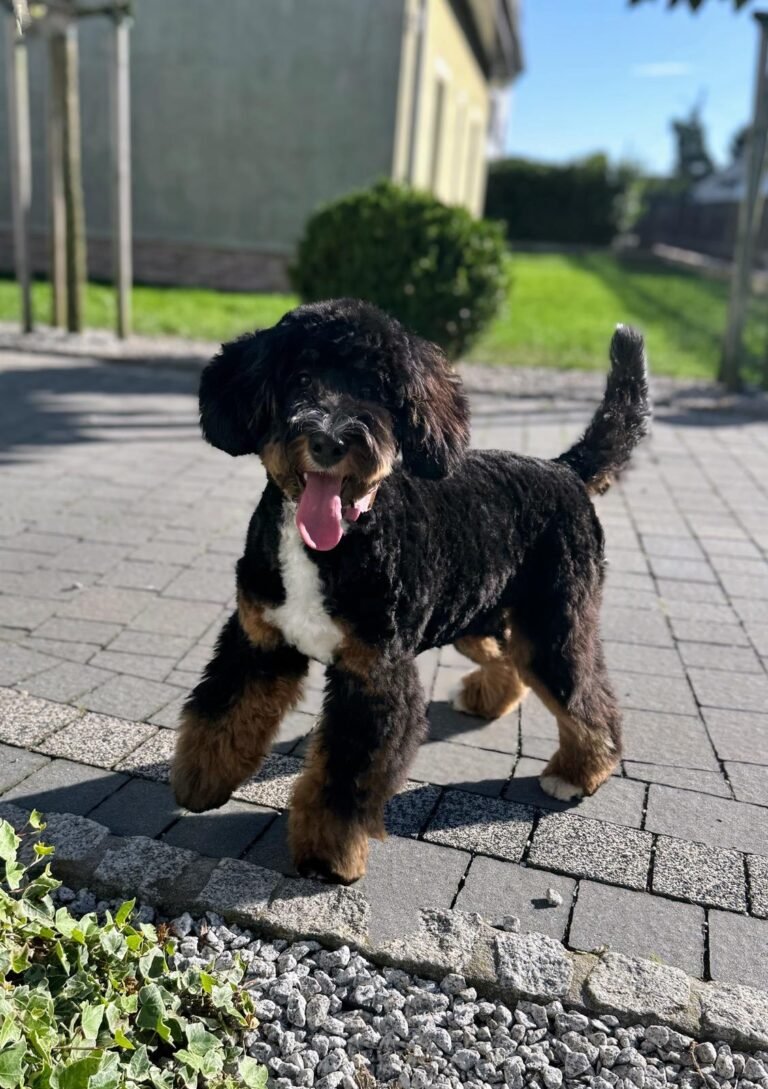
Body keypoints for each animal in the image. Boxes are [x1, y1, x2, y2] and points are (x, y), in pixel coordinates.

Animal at [171, 298, 650, 884]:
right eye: (300, 377)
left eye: (376, 389)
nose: (329, 439)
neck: (331, 545)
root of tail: (563, 470)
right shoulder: (259, 641)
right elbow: (222, 713)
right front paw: (201, 781)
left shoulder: (374, 678)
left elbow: (343, 778)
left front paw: (326, 857)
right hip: (476, 614)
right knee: (508, 660)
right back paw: (489, 700)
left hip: (553, 625)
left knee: (586, 699)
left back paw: (581, 771)